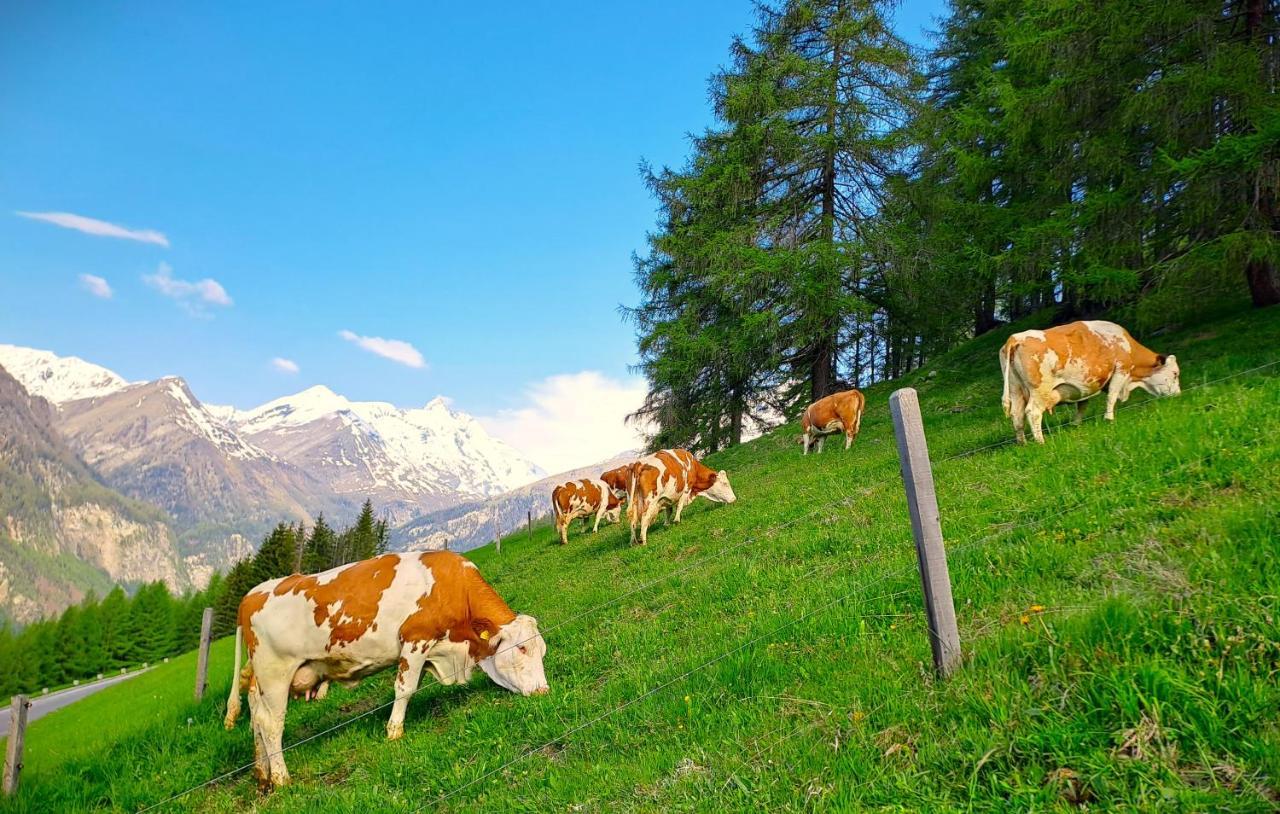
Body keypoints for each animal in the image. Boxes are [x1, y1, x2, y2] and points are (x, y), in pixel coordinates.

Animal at [225, 550, 545, 793]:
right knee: (271, 724)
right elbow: (405, 689)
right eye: (521, 648)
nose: (543, 691)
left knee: (257, 718)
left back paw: (262, 774)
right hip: (275, 673)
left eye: (541, 651)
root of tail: (253, 594)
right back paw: (281, 777)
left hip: (262, 681)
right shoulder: (415, 639)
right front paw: (394, 731)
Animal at [998, 319, 1177, 445]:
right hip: (1040, 390)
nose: (1178, 394)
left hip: (1015, 390)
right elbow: (1111, 396)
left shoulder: (1085, 385)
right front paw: (1109, 419)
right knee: (1033, 412)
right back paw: (1041, 442)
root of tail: (1015, 337)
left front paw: (1076, 424)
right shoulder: (1121, 370)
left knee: (1017, 415)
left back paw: (1023, 443)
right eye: (1175, 373)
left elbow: (1083, 404)